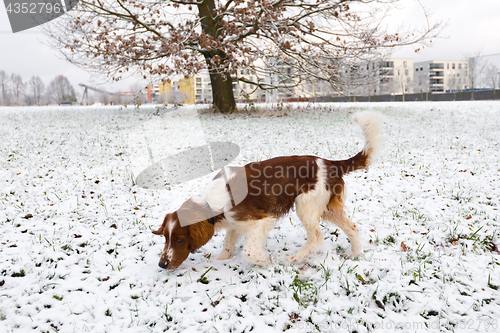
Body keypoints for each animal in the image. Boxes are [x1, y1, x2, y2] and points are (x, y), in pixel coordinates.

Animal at [152, 112, 382, 270]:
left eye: (179, 240)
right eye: (165, 238)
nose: (162, 265)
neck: (211, 201)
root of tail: (330, 163)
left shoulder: (258, 221)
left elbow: (249, 253)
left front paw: (268, 260)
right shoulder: (235, 223)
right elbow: (227, 245)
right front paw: (220, 262)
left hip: (305, 204)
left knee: (317, 237)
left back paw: (295, 258)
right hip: (326, 208)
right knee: (352, 227)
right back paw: (355, 255)